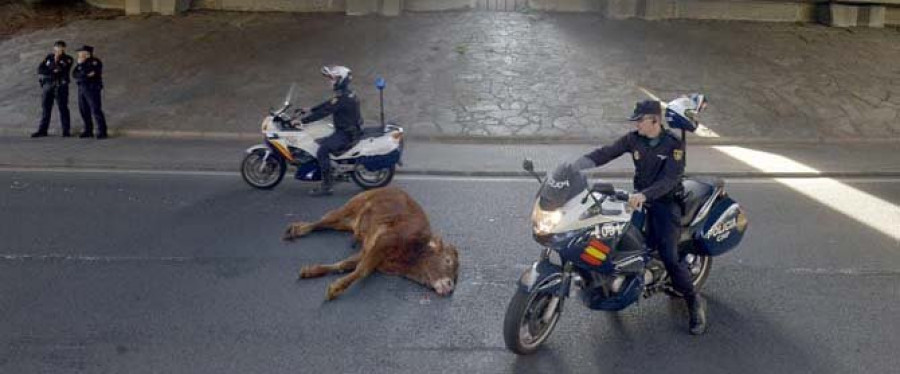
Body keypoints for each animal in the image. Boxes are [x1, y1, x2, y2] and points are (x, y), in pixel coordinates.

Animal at [284, 187, 460, 300]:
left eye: (456, 277)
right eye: (448, 260)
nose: (450, 287)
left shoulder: (369, 251)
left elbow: (346, 264)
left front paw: (311, 270)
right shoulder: (384, 242)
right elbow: (362, 269)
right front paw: (335, 288)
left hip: (346, 223)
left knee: (326, 224)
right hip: (348, 208)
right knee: (322, 221)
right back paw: (298, 229)